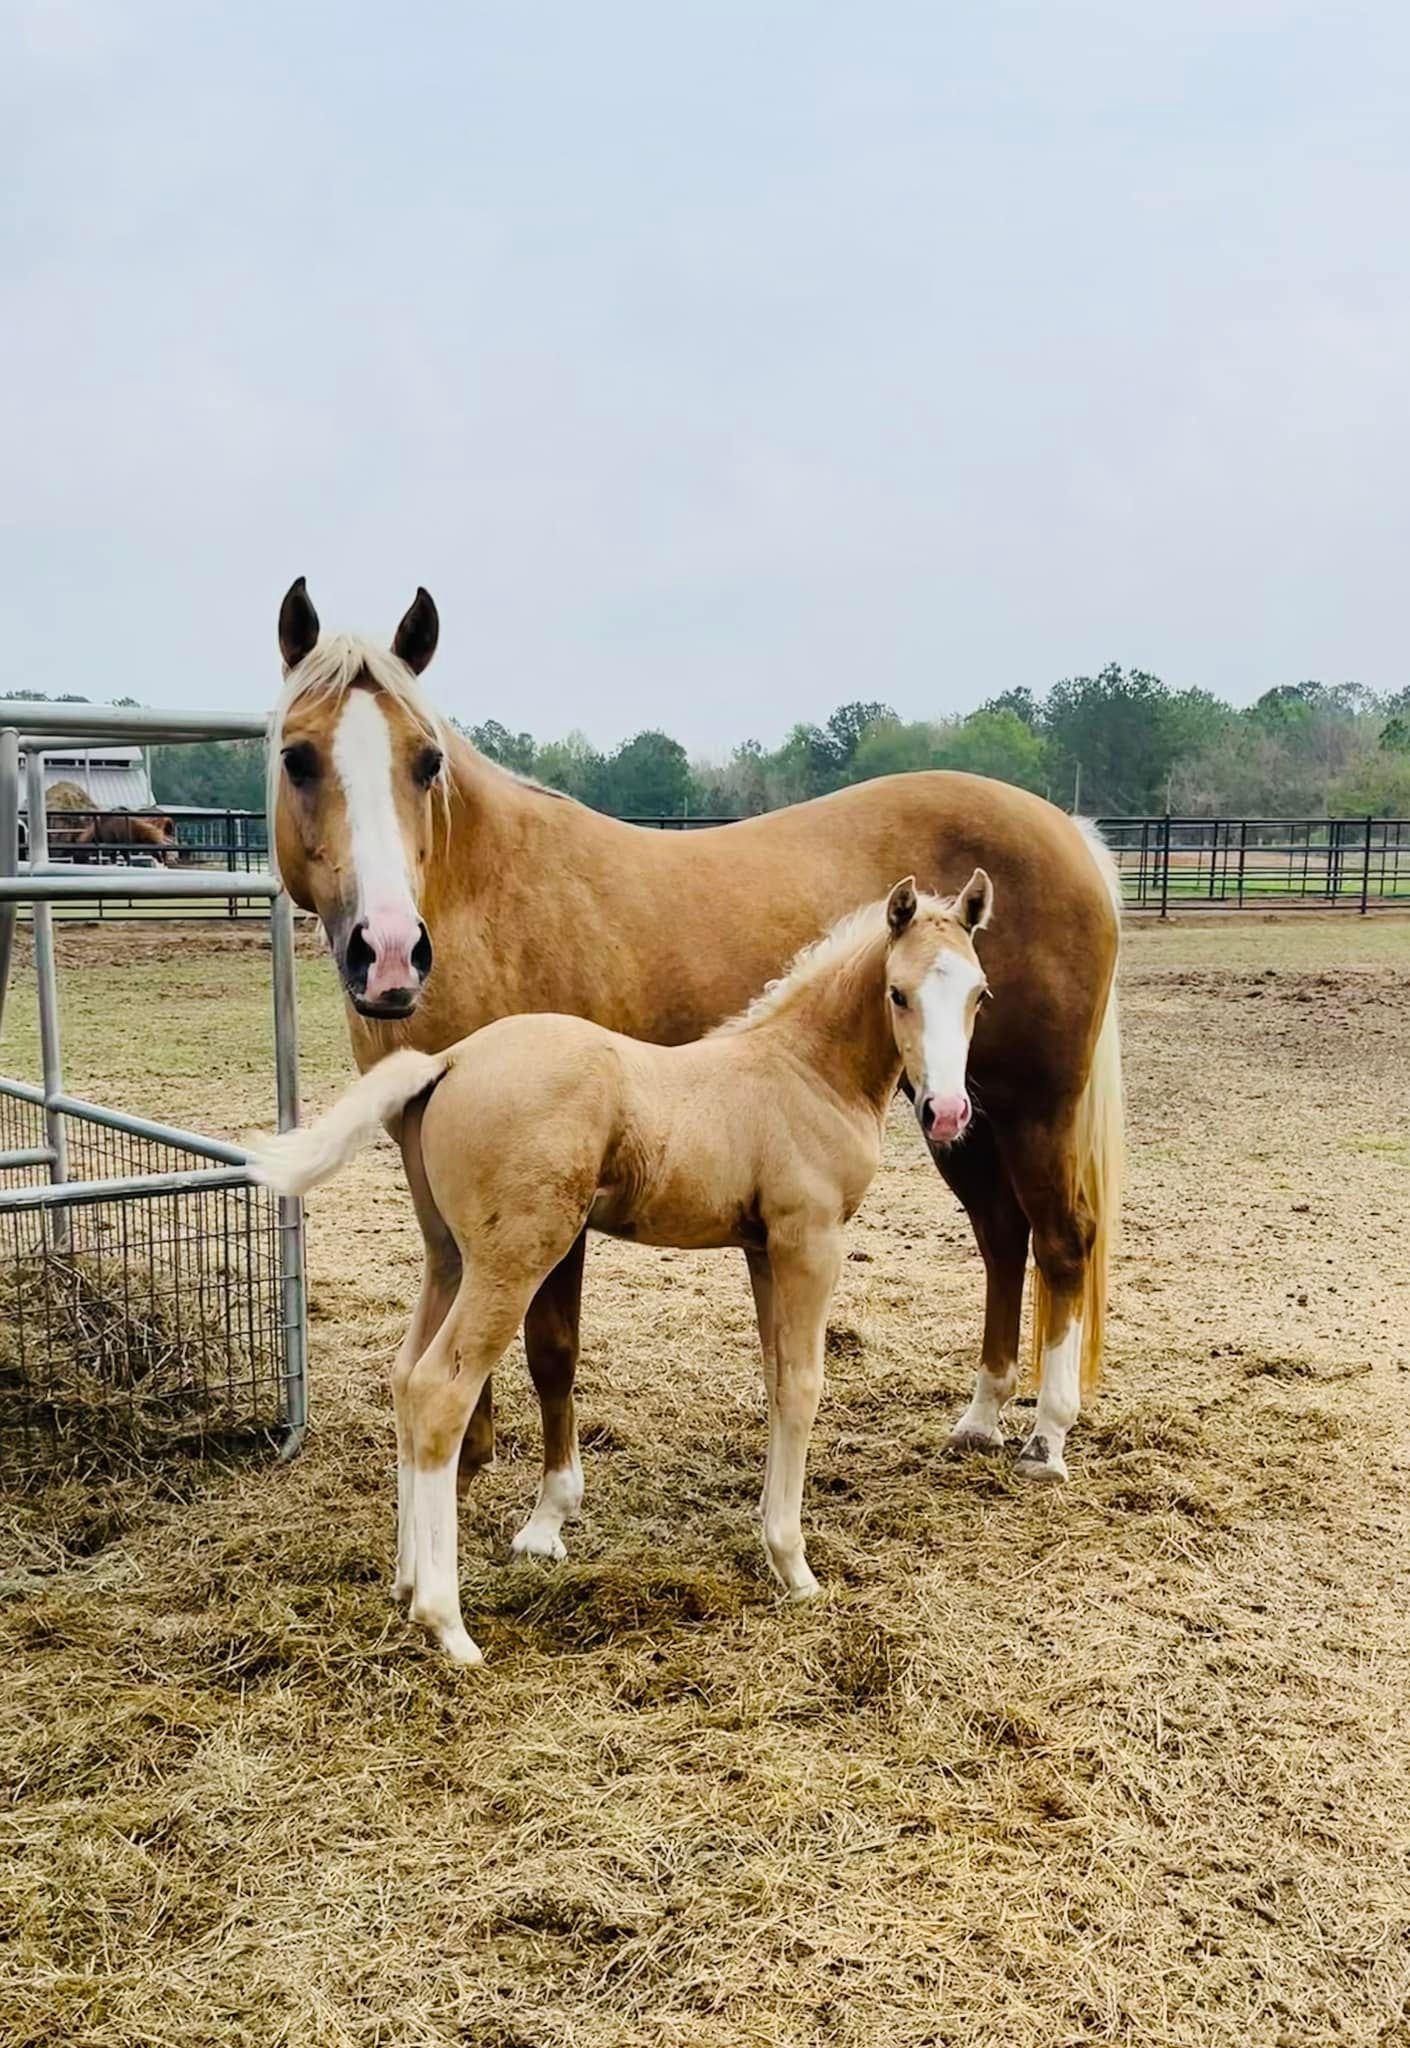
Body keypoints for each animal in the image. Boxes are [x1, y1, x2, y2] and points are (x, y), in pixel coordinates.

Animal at [249, 873, 994, 1663]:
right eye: (898, 994)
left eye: (978, 994)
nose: (948, 1113)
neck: (805, 1072)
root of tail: (449, 1061)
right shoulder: (808, 1243)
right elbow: (801, 1386)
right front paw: (795, 1568)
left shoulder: (763, 1250)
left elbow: (773, 1380)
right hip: (512, 1260)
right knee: (439, 1390)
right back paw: (446, 1622)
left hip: (448, 1256)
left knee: (401, 1375)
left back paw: (403, 1581)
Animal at [270, 578, 1123, 1496]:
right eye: (297, 757)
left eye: (427, 761)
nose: (390, 951)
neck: (491, 900)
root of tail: (1071, 832)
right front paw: (468, 1470)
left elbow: (550, 1346)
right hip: (956, 1112)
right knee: (1002, 1235)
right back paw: (983, 1416)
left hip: (1029, 1109)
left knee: (1062, 1242)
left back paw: (1047, 1435)